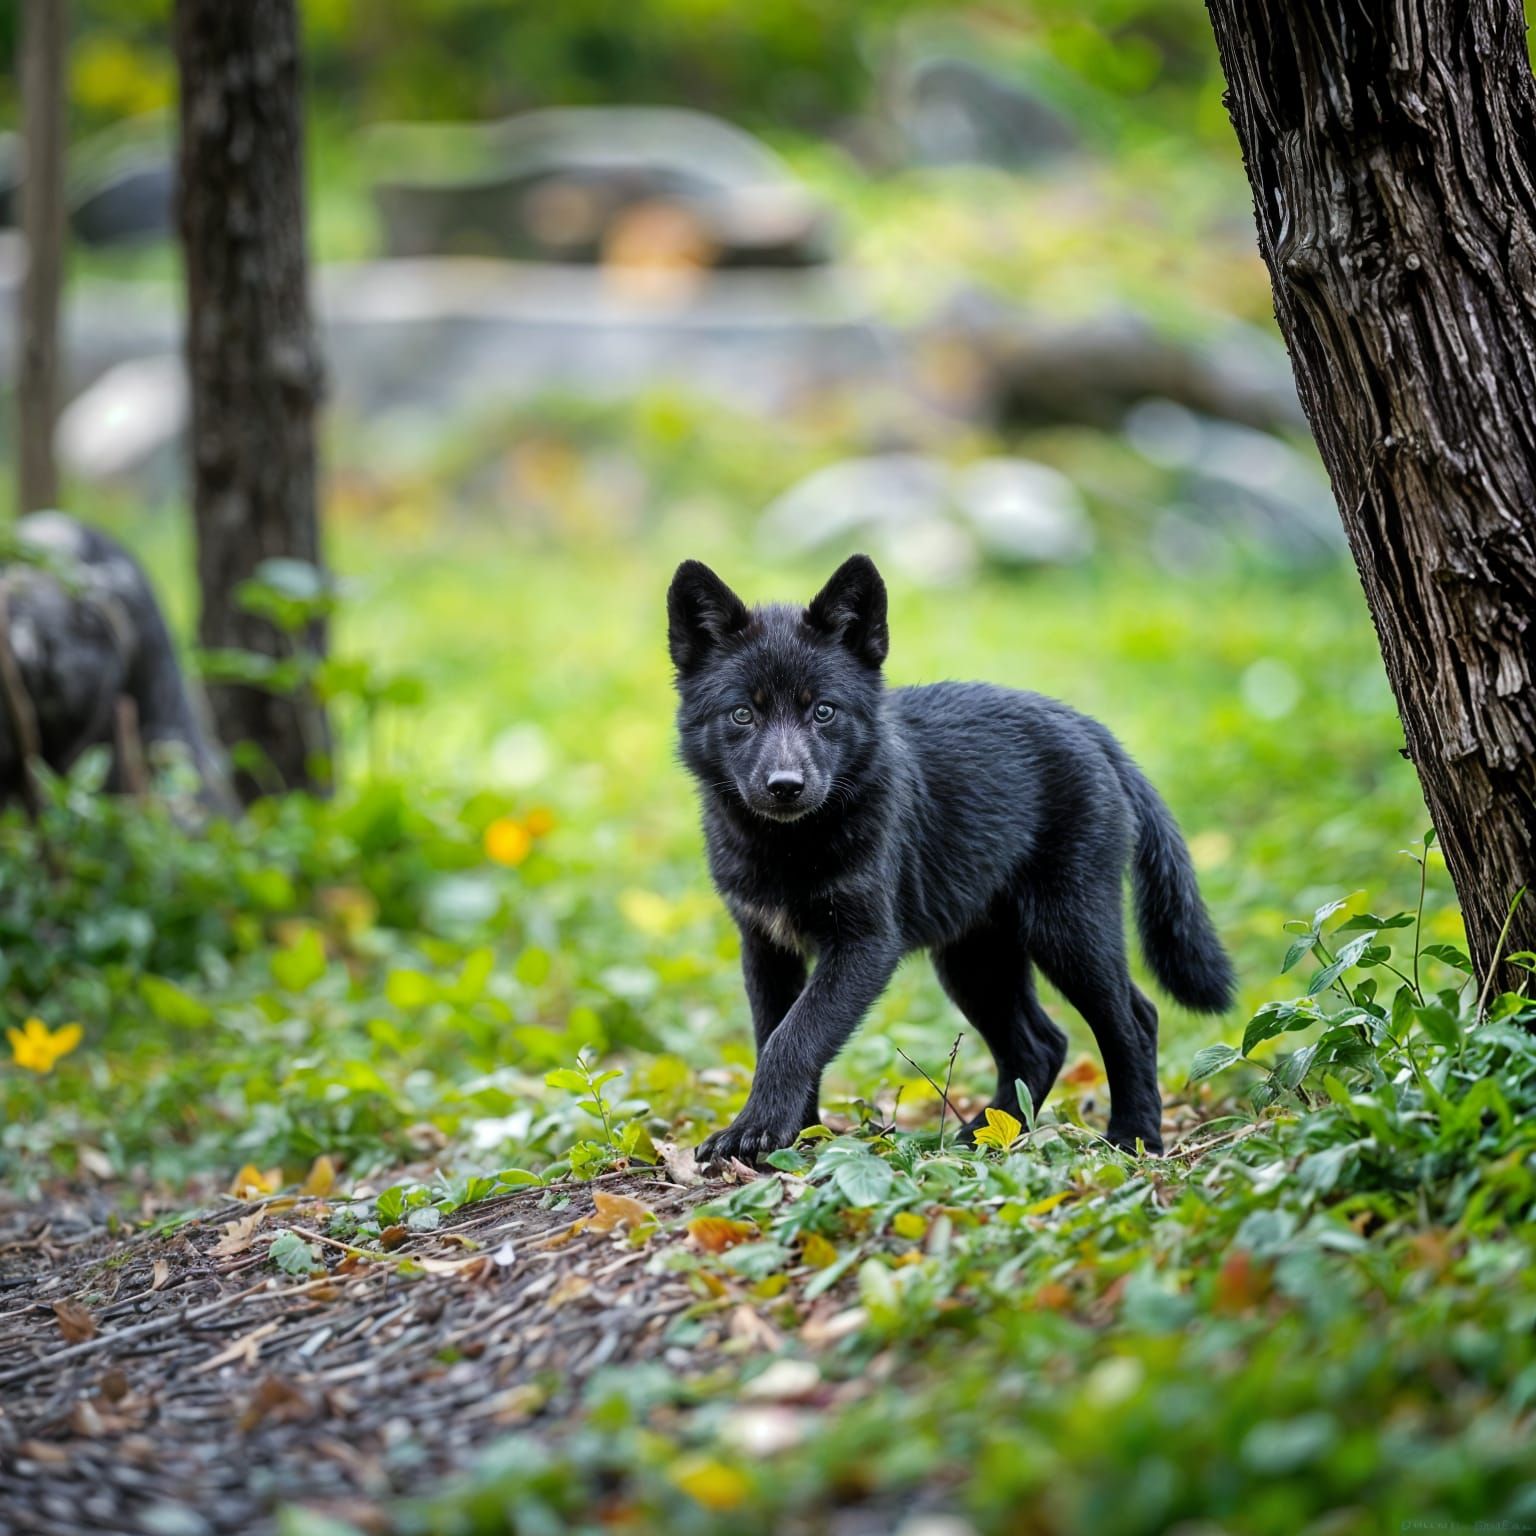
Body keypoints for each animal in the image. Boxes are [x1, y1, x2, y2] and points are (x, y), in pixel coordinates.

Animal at [668, 553, 1233, 1163]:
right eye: (742, 715)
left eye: (823, 711)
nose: (785, 787)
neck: (789, 848)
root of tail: (1088, 728)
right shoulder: (765, 944)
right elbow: (777, 1032)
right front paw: (793, 1139)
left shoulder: (865, 944)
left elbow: (793, 1038)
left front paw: (756, 1131)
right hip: (975, 957)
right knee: (1043, 1043)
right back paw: (987, 1136)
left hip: (1068, 930)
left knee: (1134, 1019)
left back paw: (1134, 1137)